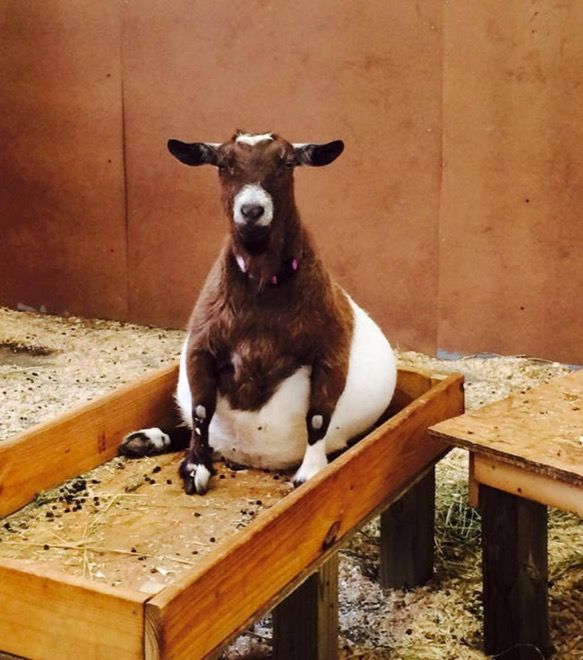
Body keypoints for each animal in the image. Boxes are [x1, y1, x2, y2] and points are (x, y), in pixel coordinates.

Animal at [119, 131, 397, 495]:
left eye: (287, 163)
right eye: (224, 163)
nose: (252, 209)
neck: (262, 289)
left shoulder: (331, 350)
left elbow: (318, 417)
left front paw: (310, 474)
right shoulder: (202, 345)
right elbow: (200, 411)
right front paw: (195, 468)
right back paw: (146, 439)